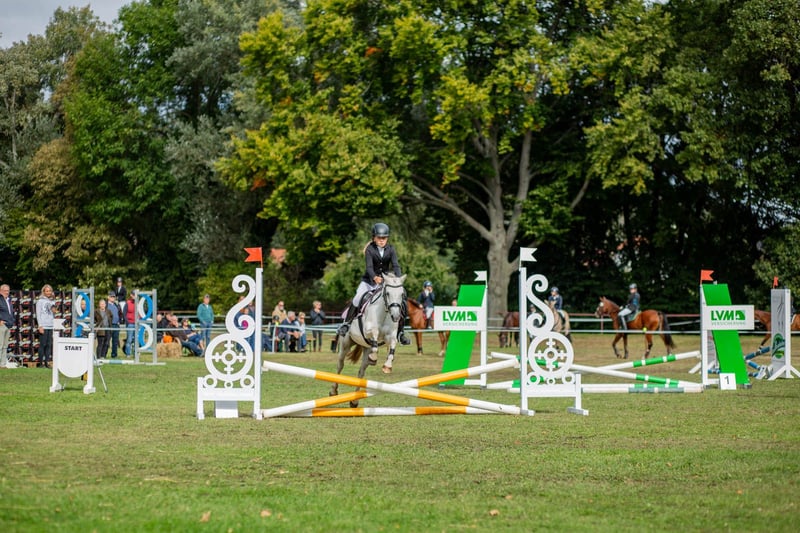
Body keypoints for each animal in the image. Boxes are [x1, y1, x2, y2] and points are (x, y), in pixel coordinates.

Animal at [330, 273, 406, 407]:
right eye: (387, 293)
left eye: (402, 294)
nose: (396, 316)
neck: (384, 313)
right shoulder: (368, 331)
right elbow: (375, 333)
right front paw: (375, 357)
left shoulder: (391, 336)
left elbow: (392, 346)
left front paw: (387, 366)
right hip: (345, 343)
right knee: (340, 364)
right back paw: (333, 391)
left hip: (365, 349)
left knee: (361, 372)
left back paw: (354, 401)